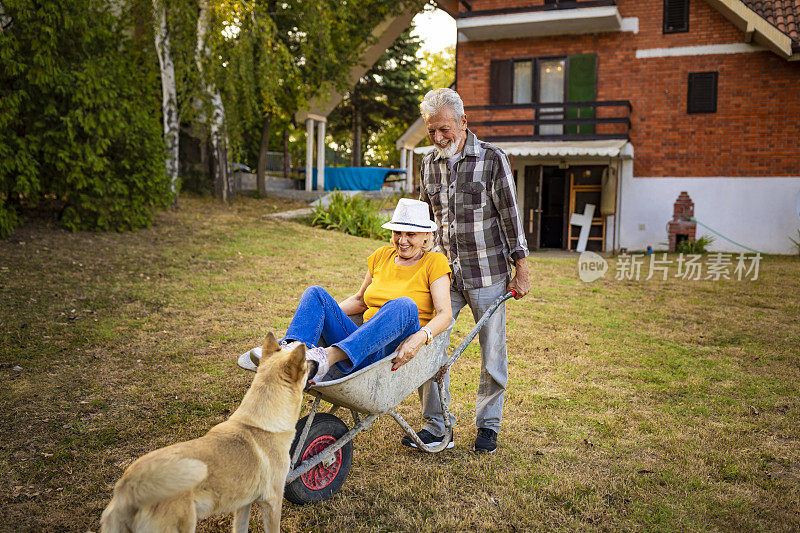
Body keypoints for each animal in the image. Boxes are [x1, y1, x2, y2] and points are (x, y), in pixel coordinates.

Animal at [101, 334, 308, 528]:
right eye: (306, 365)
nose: (314, 361)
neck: (260, 423)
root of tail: (128, 485)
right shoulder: (272, 502)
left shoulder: (243, 504)